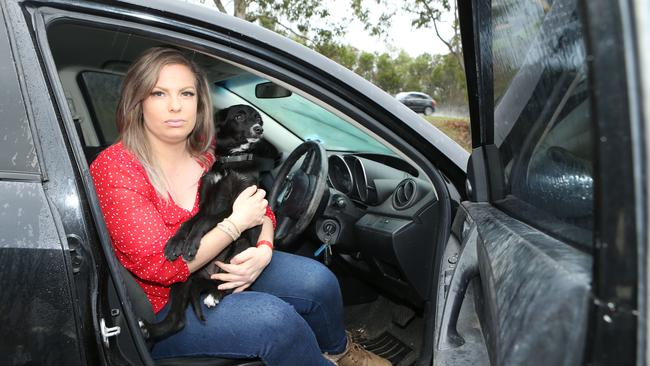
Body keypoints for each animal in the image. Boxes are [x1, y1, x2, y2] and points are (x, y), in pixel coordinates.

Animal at [144, 103, 266, 340]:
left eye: (258, 119)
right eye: (239, 116)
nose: (259, 129)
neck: (231, 162)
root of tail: (208, 275)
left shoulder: (235, 207)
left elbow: (205, 221)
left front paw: (190, 244)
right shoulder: (205, 203)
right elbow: (189, 222)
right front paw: (175, 243)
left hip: (241, 248)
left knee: (228, 283)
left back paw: (214, 295)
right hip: (184, 278)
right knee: (178, 321)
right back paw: (149, 329)